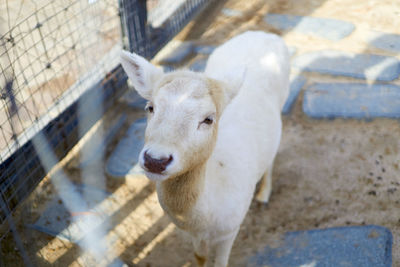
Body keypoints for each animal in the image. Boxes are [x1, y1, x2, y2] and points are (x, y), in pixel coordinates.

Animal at [120, 31, 290, 267]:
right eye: (150, 107)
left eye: (208, 119)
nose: (155, 160)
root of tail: (263, 33)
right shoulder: (193, 235)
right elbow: (200, 257)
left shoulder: (231, 228)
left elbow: (221, 262)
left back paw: (264, 194)